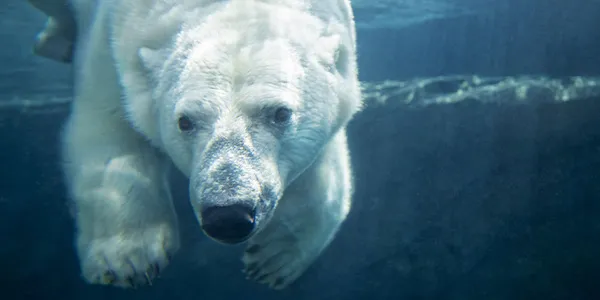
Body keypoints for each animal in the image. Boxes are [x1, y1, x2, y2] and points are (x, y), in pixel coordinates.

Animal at [30, 0, 360, 290]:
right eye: (185, 121)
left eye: (280, 113)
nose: (228, 216)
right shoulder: (111, 48)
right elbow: (108, 129)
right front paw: (128, 257)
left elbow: (324, 171)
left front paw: (274, 257)